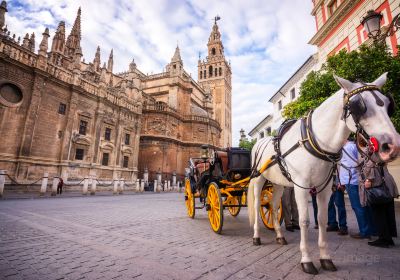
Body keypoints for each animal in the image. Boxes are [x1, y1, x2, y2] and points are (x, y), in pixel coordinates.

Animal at [247, 72, 400, 276]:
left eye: (388, 103)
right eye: (358, 105)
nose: (392, 145)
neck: (315, 141)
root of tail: (258, 143)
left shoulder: (325, 187)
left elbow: (322, 218)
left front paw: (325, 258)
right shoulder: (301, 186)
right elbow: (304, 220)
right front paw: (306, 260)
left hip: (278, 182)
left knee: (272, 205)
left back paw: (279, 235)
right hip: (259, 179)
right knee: (257, 205)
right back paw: (256, 236)